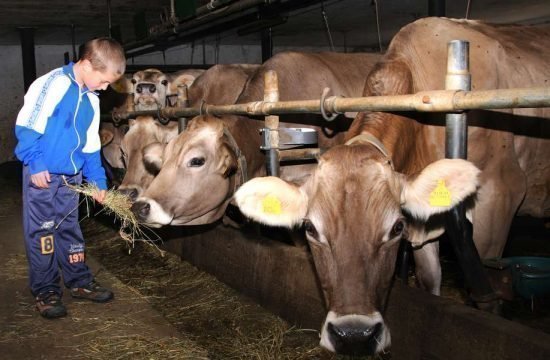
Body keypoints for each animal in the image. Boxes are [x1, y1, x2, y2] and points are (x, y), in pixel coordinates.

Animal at [232, 16, 550, 354]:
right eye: (310, 228)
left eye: (396, 228)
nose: (354, 335)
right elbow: (429, 278)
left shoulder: (501, 195)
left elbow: (488, 294)